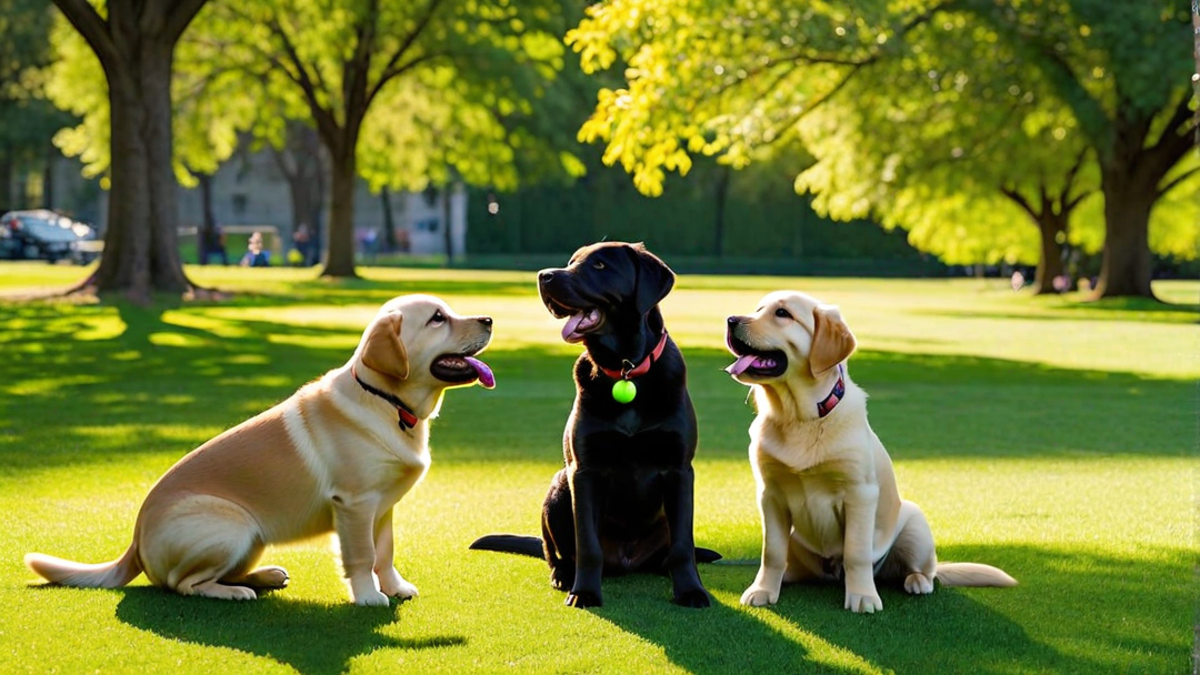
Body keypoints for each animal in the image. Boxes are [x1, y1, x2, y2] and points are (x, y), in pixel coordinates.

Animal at [28, 294, 496, 605]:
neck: (386, 400)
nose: (490, 318)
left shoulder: (382, 508)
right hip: (232, 524)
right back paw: (233, 592)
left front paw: (395, 588)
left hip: (250, 537)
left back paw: (264, 576)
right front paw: (368, 597)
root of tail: (134, 542)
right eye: (437, 319)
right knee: (181, 584)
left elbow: (385, 553)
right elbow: (363, 557)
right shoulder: (355, 504)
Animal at [465, 240, 710, 605]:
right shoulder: (585, 471)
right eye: (571, 262)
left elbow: (683, 545)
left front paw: (691, 591)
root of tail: (627, 560)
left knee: (669, 552)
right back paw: (564, 576)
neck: (625, 371)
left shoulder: (679, 469)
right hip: (557, 488)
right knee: (556, 553)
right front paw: (585, 593)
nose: (544, 275)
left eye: (599, 266)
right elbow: (588, 545)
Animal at [720, 289, 1012, 610]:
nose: (731, 320)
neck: (800, 417)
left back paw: (917, 581)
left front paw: (862, 596)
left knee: (923, 570)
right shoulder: (770, 494)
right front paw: (762, 590)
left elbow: (855, 552)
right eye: (758, 309)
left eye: (782, 313)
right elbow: (771, 552)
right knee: (788, 562)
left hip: (915, 524)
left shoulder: (859, 494)